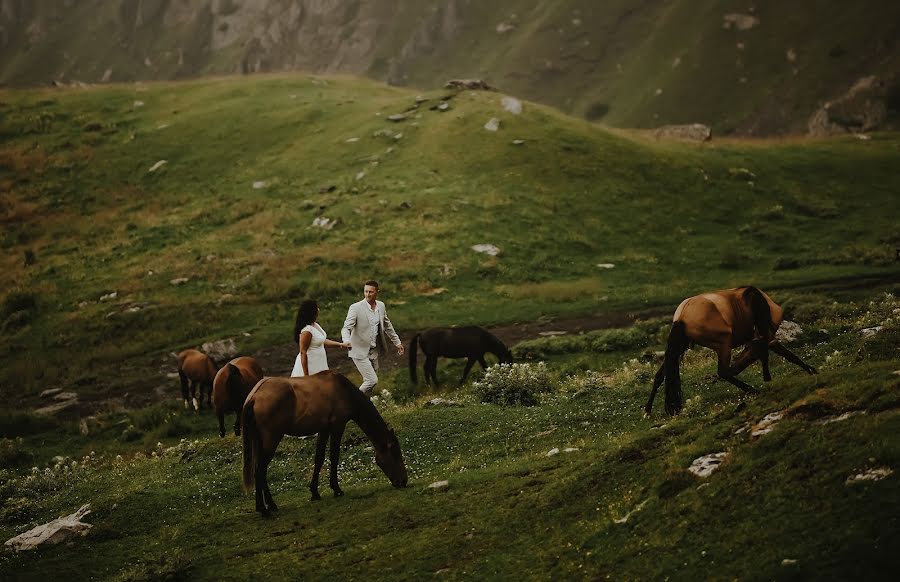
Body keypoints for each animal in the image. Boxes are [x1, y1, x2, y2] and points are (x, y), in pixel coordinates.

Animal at [241, 374, 406, 516]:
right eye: (395, 453)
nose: (404, 481)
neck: (344, 391)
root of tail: (254, 396)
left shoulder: (324, 429)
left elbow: (319, 458)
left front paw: (315, 492)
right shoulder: (337, 426)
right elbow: (334, 456)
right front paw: (336, 489)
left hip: (260, 441)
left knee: (259, 470)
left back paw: (270, 505)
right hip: (272, 440)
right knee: (260, 471)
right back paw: (263, 508)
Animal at [644, 286, 820, 416]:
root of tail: (682, 316)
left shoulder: (760, 340)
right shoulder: (766, 336)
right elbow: (780, 354)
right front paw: (808, 370)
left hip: (682, 347)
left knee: (660, 375)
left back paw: (648, 410)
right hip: (723, 345)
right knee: (723, 372)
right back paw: (753, 390)